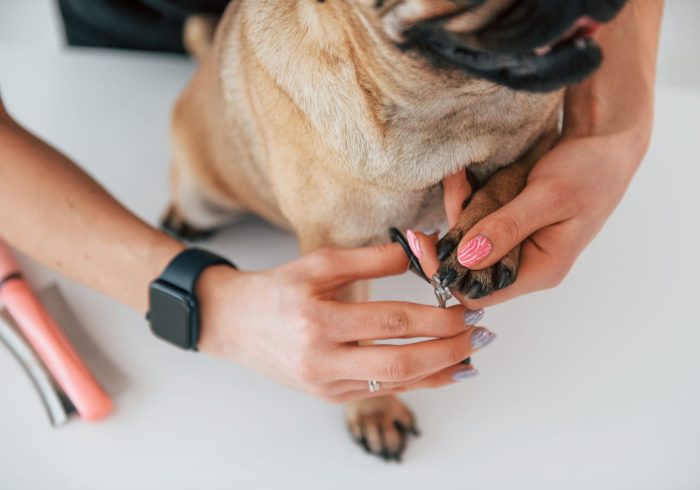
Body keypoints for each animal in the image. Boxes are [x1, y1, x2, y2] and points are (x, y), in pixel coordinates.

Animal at [163, 0, 628, 462]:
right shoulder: (340, 252)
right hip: (203, 197)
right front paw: (375, 409)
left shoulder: (543, 136)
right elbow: (355, 348)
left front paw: (482, 246)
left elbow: (512, 176)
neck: (449, 110)